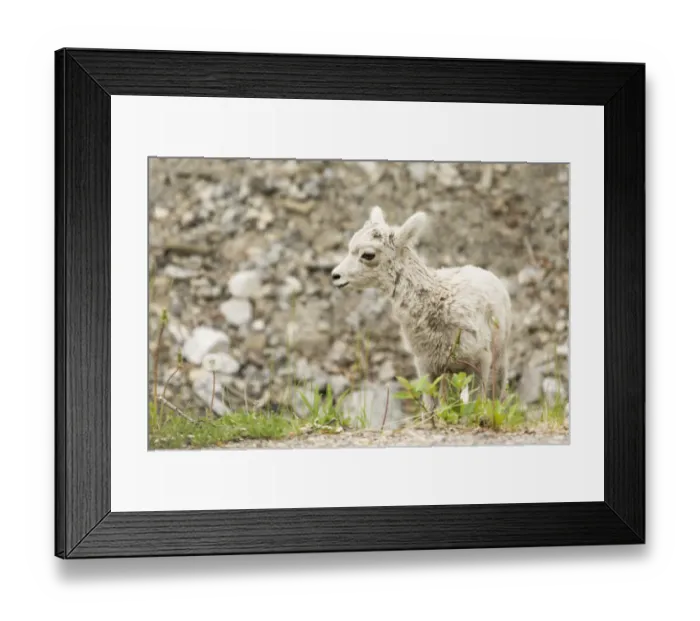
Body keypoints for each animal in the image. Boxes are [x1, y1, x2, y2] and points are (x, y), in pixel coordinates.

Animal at [331, 206, 512, 414]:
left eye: (368, 255)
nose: (335, 276)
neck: (438, 302)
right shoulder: (427, 366)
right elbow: (431, 409)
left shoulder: (479, 363)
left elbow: (474, 406)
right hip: (450, 372)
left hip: (498, 356)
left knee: (496, 392)